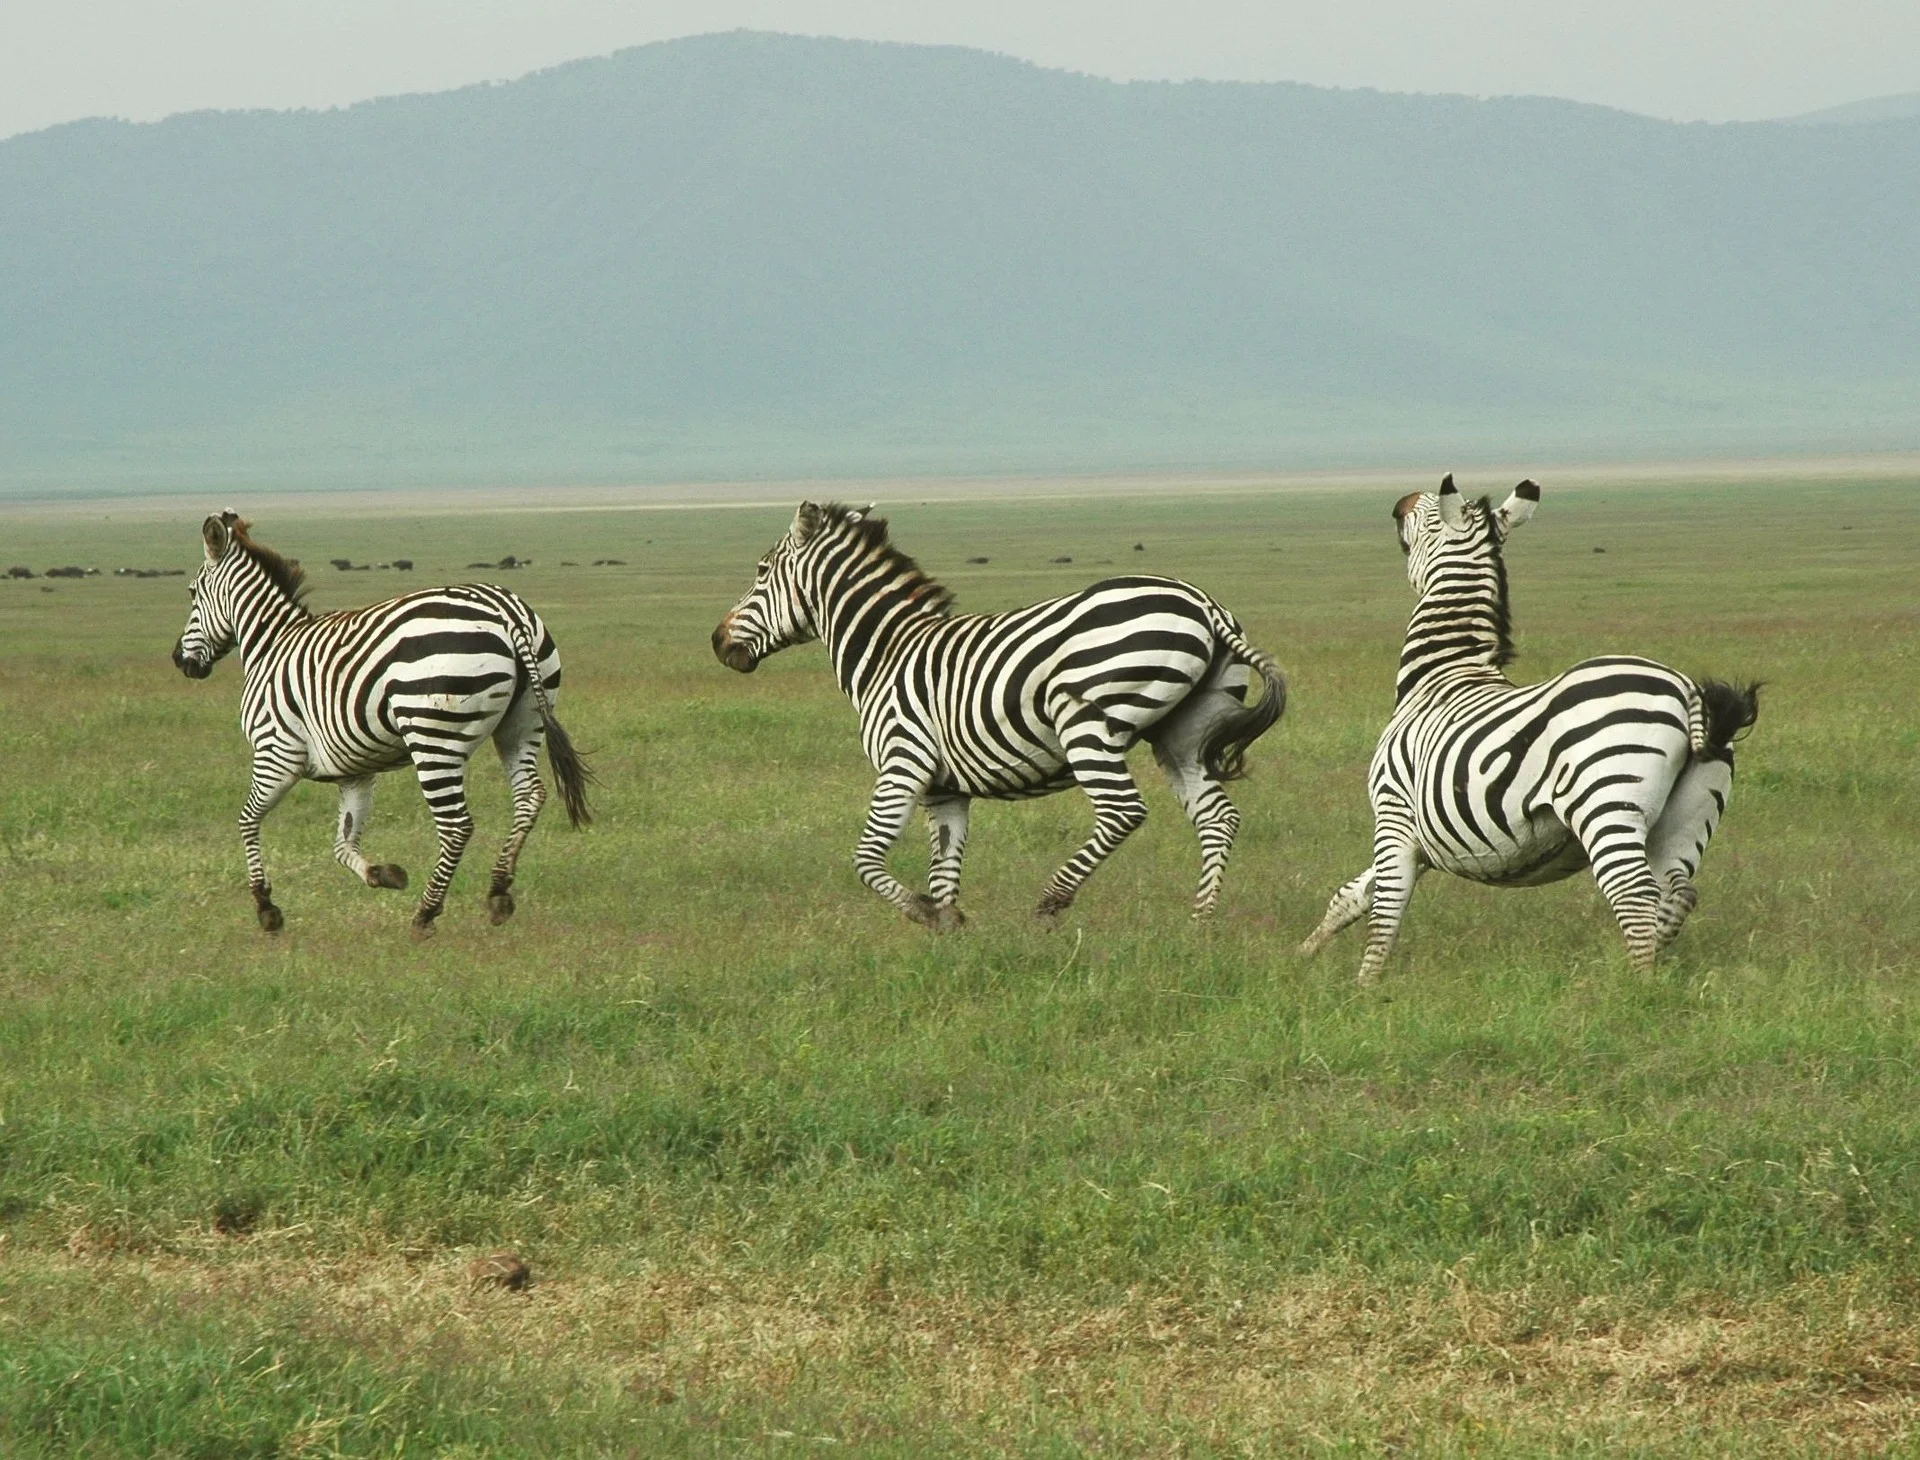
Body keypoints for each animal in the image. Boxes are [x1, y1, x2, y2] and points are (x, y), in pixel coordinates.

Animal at [172, 514, 591, 933]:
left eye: (192, 593)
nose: (179, 660)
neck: (270, 644)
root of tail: (505, 610)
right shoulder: (354, 772)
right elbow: (343, 843)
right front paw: (384, 874)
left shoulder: (276, 752)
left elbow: (247, 820)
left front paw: (265, 905)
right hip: (523, 724)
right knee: (528, 797)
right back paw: (499, 890)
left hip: (432, 738)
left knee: (457, 824)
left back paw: (426, 912)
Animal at [710, 503, 1290, 922]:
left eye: (761, 572)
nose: (717, 641)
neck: (887, 652)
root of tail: (1203, 604)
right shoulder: (943, 789)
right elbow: (944, 871)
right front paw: (948, 939)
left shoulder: (903, 762)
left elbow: (867, 859)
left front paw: (923, 914)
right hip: (1185, 732)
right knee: (1217, 817)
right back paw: (1201, 921)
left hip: (1086, 722)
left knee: (1123, 811)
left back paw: (1052, 899)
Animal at [1297, 476, 1758, 979]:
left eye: (1430, 517)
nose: (1399, 504)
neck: (1442, 673)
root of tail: (1686, 690)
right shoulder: (1422, 838)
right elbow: (1351, 895)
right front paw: (1302, 957)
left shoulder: (1393, 811)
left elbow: (1385, 909)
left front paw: (1366, 986)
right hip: (1686, 818)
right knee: (1679, 892)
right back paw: (1640, 970)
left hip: (1607, 802)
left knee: (1636, 895)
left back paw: (1639, 985)